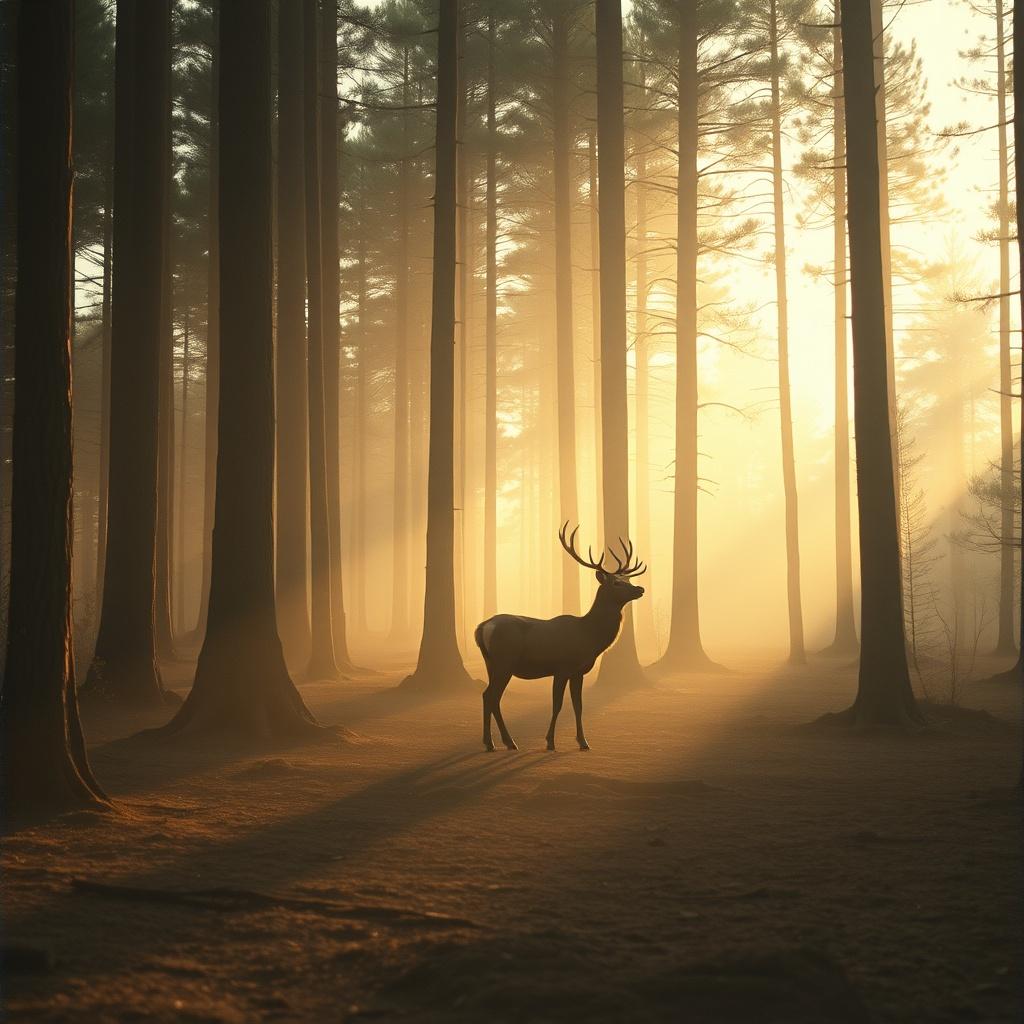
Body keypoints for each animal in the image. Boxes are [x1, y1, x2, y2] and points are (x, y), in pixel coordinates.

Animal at [473, 523, 646, 752]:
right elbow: (557, 705)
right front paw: (550, 742)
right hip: (504, 662)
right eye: (616, 583)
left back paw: (501, 742)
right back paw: (498, 742)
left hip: (491, 663)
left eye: (627, 579)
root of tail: (482, 627)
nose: (640, 588)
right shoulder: (562, 667)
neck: (589, 636)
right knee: (491, 696)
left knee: (490, 697)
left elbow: (578, 706)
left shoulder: (578, 671)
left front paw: (583, 742)